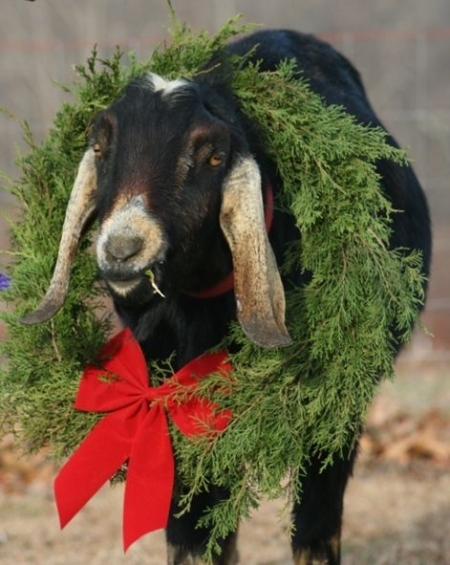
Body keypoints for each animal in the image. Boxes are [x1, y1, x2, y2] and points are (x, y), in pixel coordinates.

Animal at [22, 29, 432, 564]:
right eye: (100, 144)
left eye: (212, 156)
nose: (123, 249)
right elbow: (194, 527)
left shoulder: (330, 396)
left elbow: (315, 522)